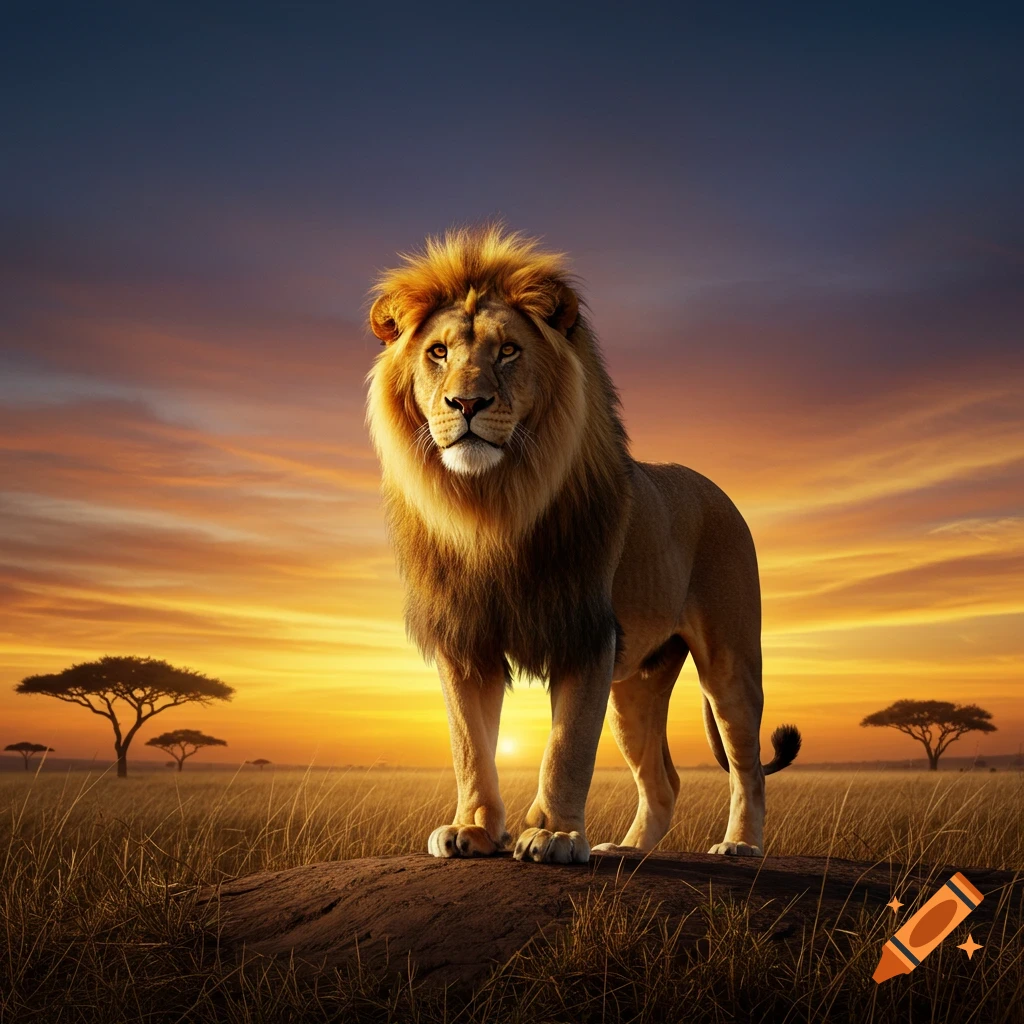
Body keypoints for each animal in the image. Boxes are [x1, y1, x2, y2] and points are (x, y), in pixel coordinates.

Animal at [365, 225, 800, 863]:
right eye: (438, 353)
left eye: (508, 351)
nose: (466, 404)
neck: (491, 507)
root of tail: (715, 487)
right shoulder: (465, 641)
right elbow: (470, 746)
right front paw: (473, 830)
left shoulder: (585, 634)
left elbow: (566, 747)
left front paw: (555, 835)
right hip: (634, 688)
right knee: (663, 781)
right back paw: (627, 850)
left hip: (730, 661)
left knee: (745, 766)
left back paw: (739, 845)